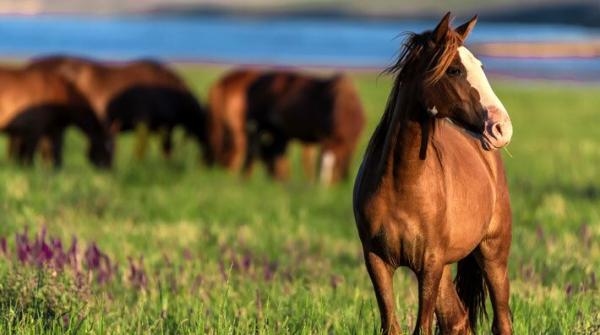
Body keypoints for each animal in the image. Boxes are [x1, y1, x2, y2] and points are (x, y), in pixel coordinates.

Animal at [354, 11, 512, 334]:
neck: (402, 183)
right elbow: (392, 325)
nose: (502, 127)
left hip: (493, 255)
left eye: (480, 66)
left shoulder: (430, 264)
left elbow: (422, 327)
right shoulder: (377, 261)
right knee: (458, 320)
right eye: (454, 70)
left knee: (501, 321)